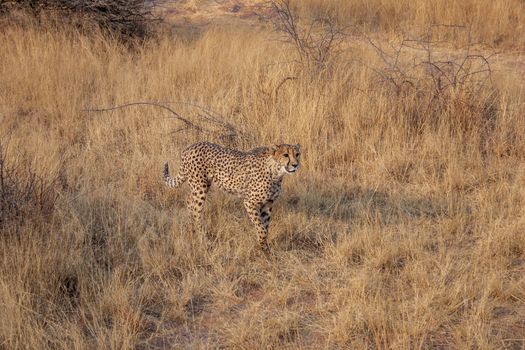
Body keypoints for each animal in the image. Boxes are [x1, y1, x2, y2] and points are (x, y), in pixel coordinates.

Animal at [162, 141, 300, 253]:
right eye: (285, 155)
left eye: (297, 154)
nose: (295, 165)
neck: (276, 172)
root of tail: (190, 147)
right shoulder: (249, 202)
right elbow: (261, 227)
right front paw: (262, 245)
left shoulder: (268, 203)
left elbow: (265, 226)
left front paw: (264, 248)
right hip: (200, 187)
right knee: (196, 210)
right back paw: (203, 238)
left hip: (201, 186)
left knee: (189, 202)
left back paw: (192, 230)